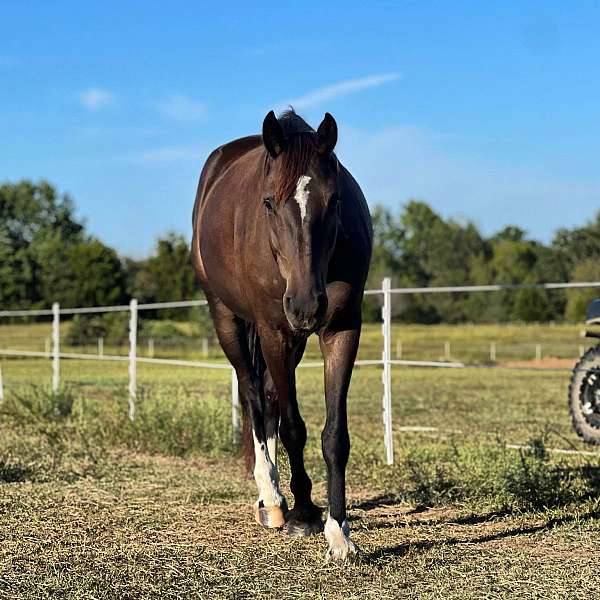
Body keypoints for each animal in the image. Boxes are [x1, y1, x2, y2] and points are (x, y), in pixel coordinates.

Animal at [191, 109, 370, 564]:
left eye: (335, 200)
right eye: (269, 202)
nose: (305, 305)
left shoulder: (342, 329)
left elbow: (334, 435)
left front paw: (339, 531)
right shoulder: (274, 331)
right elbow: (292, 428)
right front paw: (305, 515)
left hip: (295, 338)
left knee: (270, 395)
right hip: (228, 319)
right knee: (254, 394)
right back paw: (272, 500)